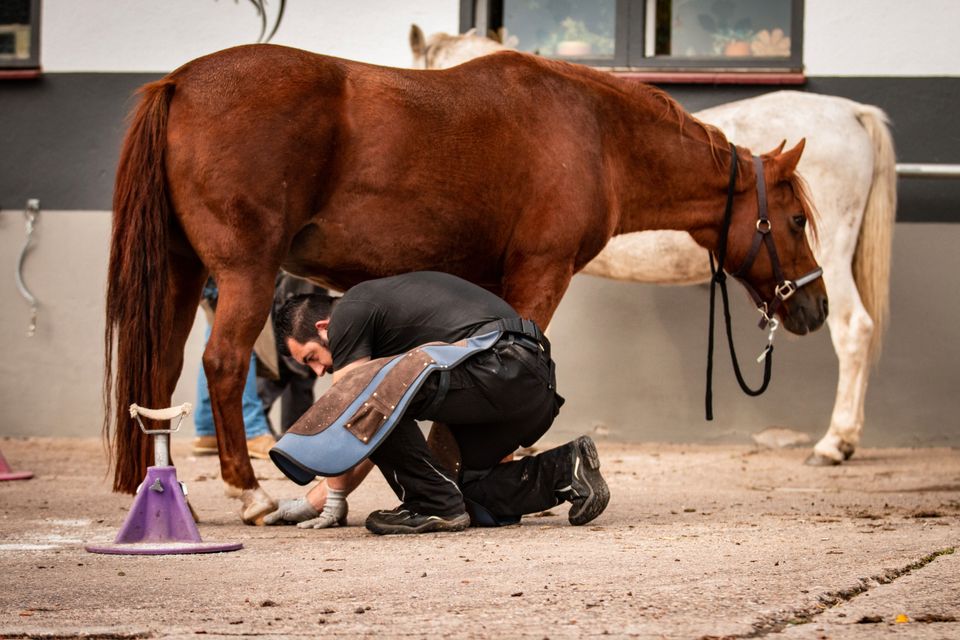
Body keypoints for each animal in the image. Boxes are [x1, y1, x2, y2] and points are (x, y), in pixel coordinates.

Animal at [103, 46, 824, 524]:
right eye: (794, 219)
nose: (814, 306)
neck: (594, 134)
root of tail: (179, 82)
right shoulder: (541, 272)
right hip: (244, 273)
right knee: (223, 365)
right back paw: (250, 494)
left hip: (181, 273)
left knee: (158, 374)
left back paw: (164, 490)